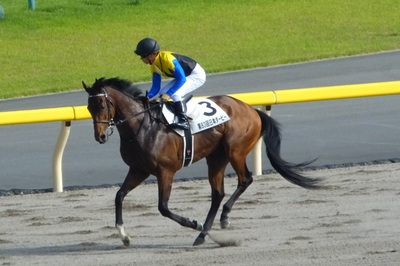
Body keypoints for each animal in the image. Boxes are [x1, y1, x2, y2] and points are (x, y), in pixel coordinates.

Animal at [82, 77, 322, 247]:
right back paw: (204, 234)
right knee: (217, 193)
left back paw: (221, 219)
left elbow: (163, 208)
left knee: (245, 180)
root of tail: (252, 110)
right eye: (89, 108)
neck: (142, 126)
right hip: (216, 158)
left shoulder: (165, 172)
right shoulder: (138, 170)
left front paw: (192, 223)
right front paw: (124, 236)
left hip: (235, 151)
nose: (100, 136)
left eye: (101, 105)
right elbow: (119, 196)